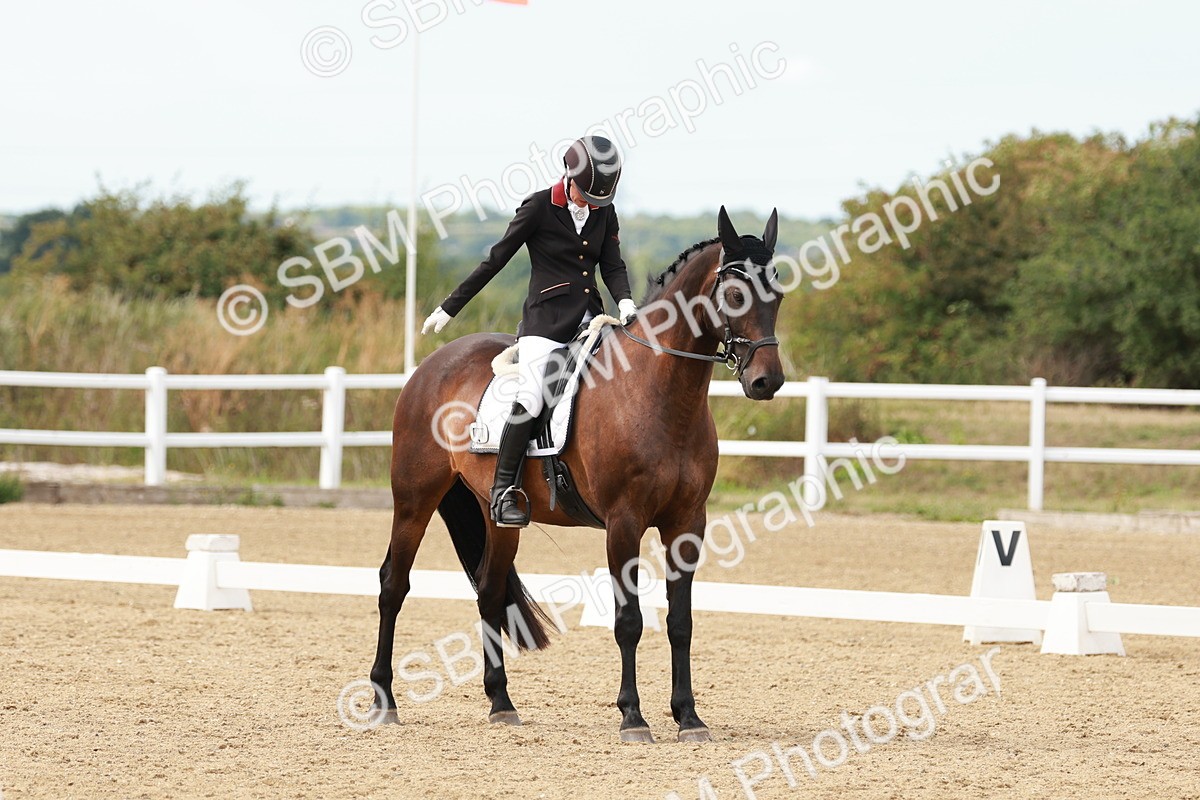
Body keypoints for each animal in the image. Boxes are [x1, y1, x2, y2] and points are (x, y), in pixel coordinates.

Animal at [369, 206, 785, 743]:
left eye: (779, 295)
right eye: (736, 295)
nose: (767, 381)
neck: (658, 390)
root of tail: (430, 366)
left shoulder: (688, 524)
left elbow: (681, 623)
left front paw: (689, 718)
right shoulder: (624, 523)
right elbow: (629, 621)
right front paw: (633, 717)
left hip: (496, 515)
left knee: (488, 591)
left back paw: (501, 704)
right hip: (414, 499)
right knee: (393, 585)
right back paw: (384, 700)